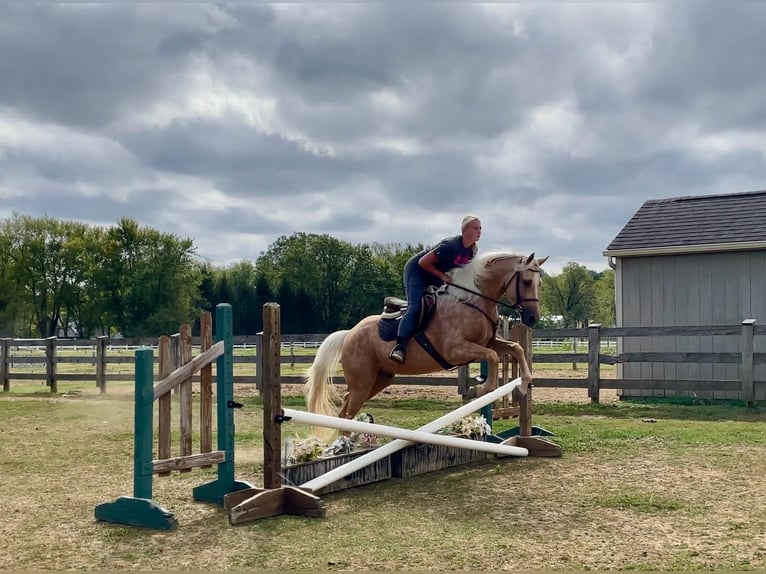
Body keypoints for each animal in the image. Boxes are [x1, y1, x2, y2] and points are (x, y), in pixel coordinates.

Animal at [304, 251, 548, 424]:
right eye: (527, 282)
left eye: (540, 284)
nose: (532, 318)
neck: (472, 300)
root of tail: (349, 334)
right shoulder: (456, 350)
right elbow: (493, 357)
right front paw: (480, 389)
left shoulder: (489, 342)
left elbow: (515, 348)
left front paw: (522, 387)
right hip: (362, 382)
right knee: (345, 413)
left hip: (379, 379)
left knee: (346, 408)